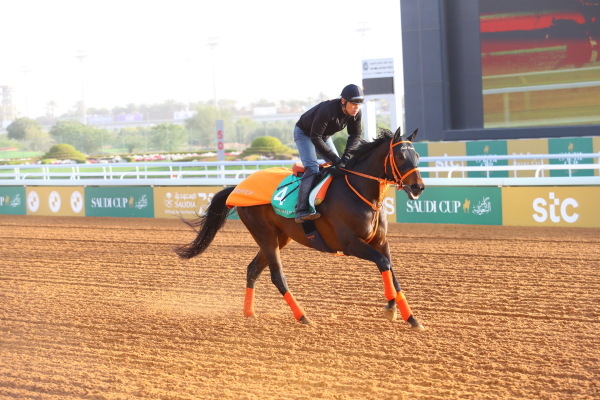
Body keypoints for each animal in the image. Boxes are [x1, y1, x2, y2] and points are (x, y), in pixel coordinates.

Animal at [175, 127, 426, 328]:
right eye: (400, 155)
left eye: (417, 155)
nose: (418, 187)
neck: (360, 191)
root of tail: (238, 187)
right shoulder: (350, 244)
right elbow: (383, 264)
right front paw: (392, 309)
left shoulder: (380, 241)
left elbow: (391, 270)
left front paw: (411, 318)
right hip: (265, 235)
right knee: (277, 277)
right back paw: (303, 317)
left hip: (279, 237)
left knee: (252, 270)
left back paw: (249, 312)